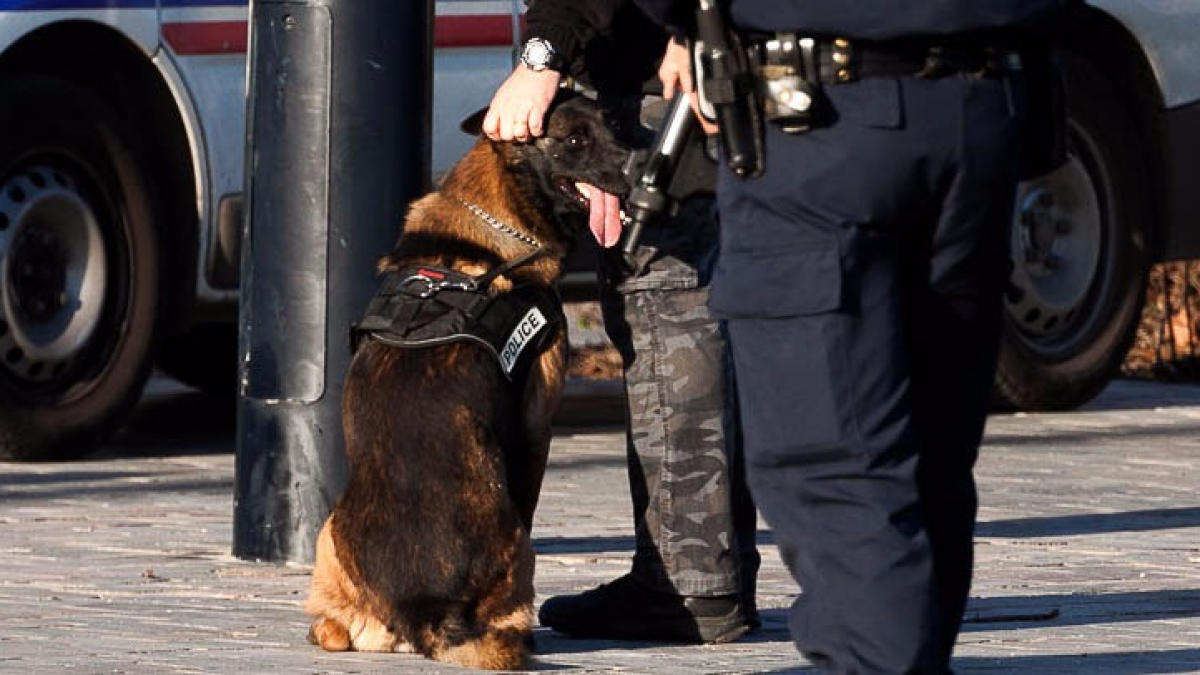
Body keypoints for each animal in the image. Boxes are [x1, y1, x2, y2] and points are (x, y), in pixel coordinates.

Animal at [304, 90, 633, 667]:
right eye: (575, 139)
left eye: (611, 125)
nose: (637, 169)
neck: (498, 219)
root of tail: (424, 607)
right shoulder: (535, 428)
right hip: (521, 547)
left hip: (329, 534)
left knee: (331, 631)